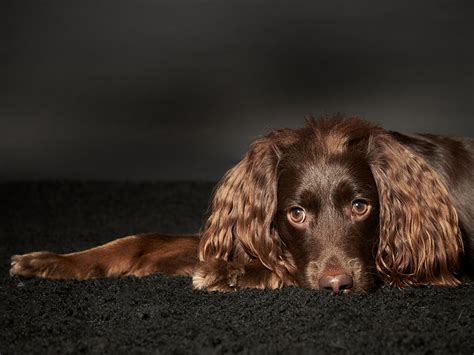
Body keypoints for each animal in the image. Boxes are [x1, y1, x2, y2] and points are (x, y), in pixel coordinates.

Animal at [8, 118, 474, 294]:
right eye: (296, 214)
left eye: (361, 206)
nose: (337, 286)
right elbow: (142, 240)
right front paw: (51, 261)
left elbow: (284, 267)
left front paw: (226, 273)